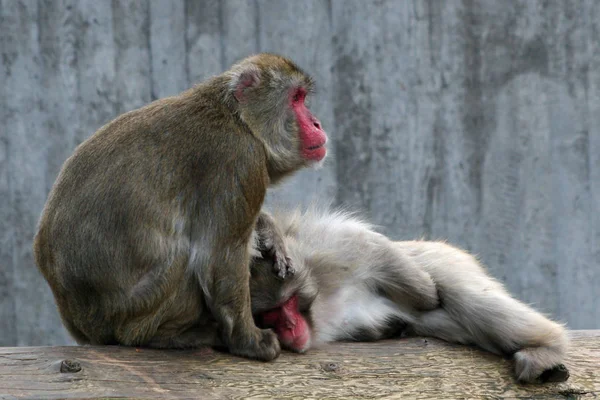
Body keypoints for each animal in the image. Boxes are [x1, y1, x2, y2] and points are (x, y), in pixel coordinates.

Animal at [34, 52, 346, 360]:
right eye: (296, 98)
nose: (317, 123)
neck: (239, 121)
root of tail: (80, 325)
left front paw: (269, 230)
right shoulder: (239, 160)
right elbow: (218, 260)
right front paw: (250, 342)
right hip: (140, 309)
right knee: (186, 258)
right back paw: (167, 336)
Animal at [250, 208, 572, 382]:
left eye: (289, 303)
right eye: (271, 313)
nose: (290, 326)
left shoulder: (324, 249)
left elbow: (371, 246)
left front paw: (424, 293)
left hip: (447, 259)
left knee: (467, 297)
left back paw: (549, 345)